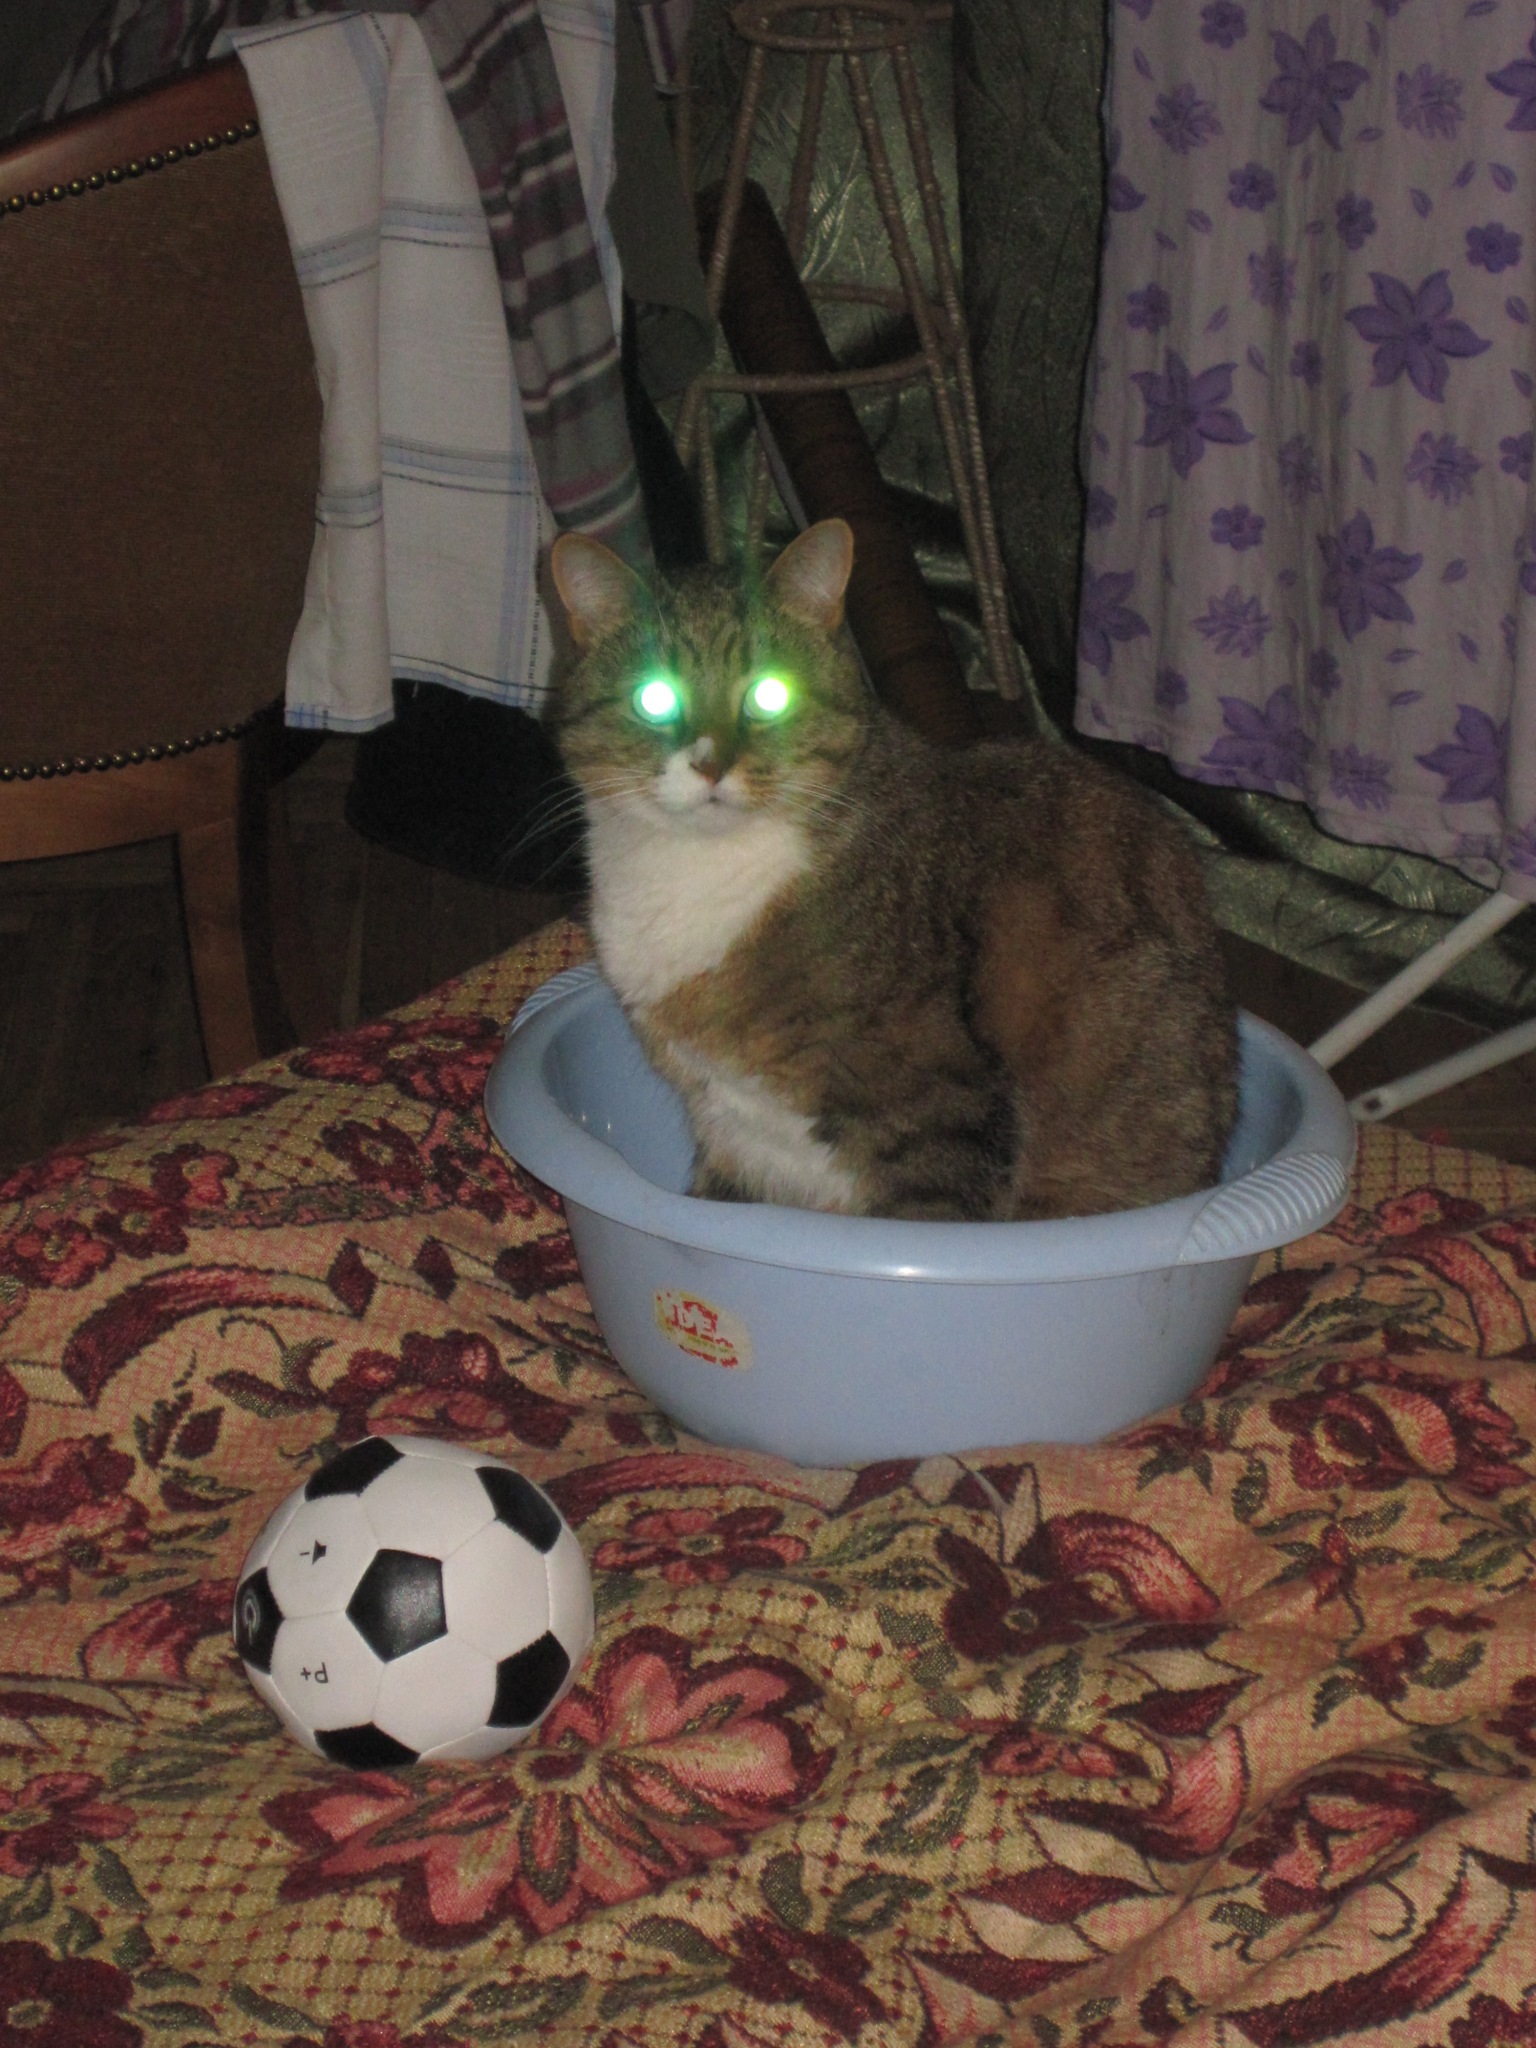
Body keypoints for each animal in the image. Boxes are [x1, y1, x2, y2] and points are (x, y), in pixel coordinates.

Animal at [547, 517, 1239, 1221]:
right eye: (655, 698)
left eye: (770, 693)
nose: (710, 764)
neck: (702, 872)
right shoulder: (735, 1139)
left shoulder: (934, 1112)